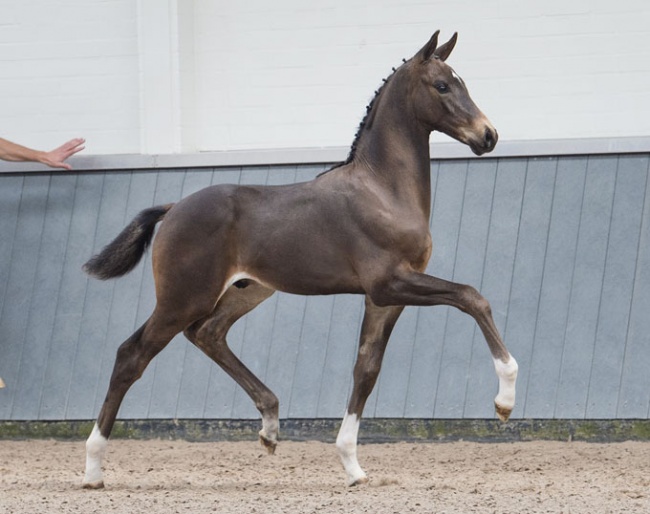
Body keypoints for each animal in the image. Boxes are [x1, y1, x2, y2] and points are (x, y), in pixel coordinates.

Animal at [81, 32, 516, 488]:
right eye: (443, 86)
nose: (488, 135)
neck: (382, 189)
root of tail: (173, 207)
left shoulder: (385, 298)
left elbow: (366, 369)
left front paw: (352, 466)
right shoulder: (388, 283)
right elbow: (472, 297)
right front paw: (505, 400)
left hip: (248, 291)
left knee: (209, 334)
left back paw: (270, 427)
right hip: (182, 299)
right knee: (132, 355)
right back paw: (93, 468)